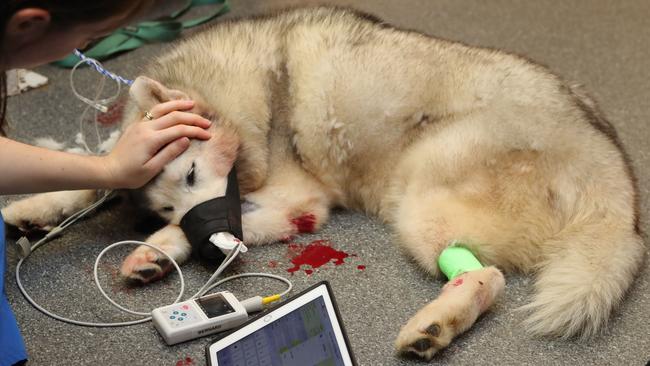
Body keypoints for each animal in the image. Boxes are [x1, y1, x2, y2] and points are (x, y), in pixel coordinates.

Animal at [3, 6, 644, 360]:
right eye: (162, 205)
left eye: (191, 173)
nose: (214, 239)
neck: (252, 92)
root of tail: (619, 188)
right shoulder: (278, 204)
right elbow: (99, 175)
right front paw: (37, 204)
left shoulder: (292, 196)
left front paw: (156, 252)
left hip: (424, 196)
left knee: (488, 276)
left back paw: (434, 325)